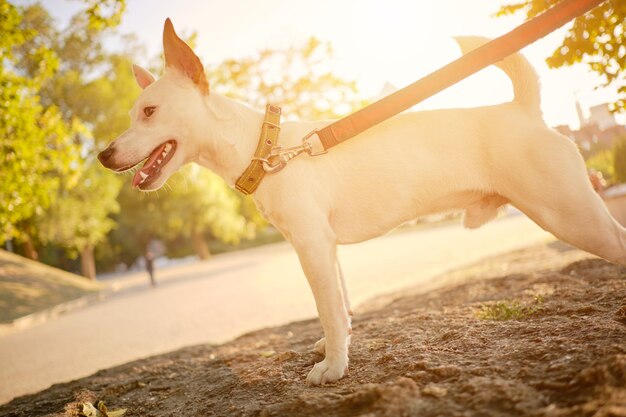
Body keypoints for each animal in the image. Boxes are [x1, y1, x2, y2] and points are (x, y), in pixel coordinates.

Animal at [97, 18, 624, 384]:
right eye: (132, 114)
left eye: (149, 112)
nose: (103, 155)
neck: (265, 149)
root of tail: (523, 109)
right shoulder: (325, 248)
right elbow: (342, 307)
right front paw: (337, 352)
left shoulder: (311, 246)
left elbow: (329, 310)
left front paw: (332, 369)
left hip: (570, 215)